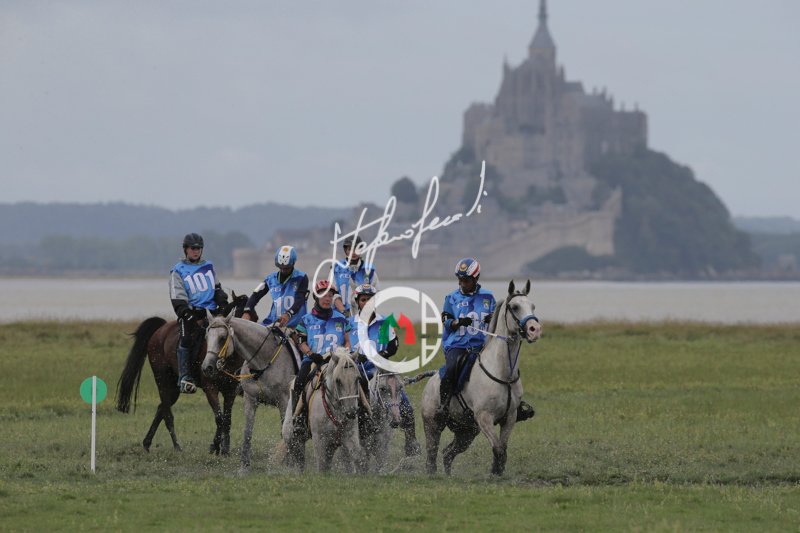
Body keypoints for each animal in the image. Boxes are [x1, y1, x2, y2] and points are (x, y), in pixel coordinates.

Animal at [115, 292, 247, 455]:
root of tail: (160, 330)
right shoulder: (210, 388)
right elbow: (219, 418)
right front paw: (216, 448)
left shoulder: (230, 390)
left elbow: (227, 419)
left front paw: (224, 449)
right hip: (163, 381)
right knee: (167, 413)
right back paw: (177, 447)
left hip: (173, 389)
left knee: (161, 409)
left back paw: (147, 443)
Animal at [201, 313, 298, 474]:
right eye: (206, 336)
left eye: (222, 337)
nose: (206, 367)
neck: (264, 361)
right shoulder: (250, 399)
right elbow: (247, 432)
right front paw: (244, 466)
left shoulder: (284, 402)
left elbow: (285, 431)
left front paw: (289, 463)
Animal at [421, 280, 542, 476]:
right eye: (515, 307)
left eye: (532, 306)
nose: (535, 330)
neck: (502, 372)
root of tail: (431, 380)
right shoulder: (485, 417)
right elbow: (498, 449)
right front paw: (494, 473)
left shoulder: (509, 417)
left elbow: (503, 449)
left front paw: (497, 472)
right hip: (433, 424)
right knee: (431, 454)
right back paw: (432, 475)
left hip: (466, 431)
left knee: (447, 452)